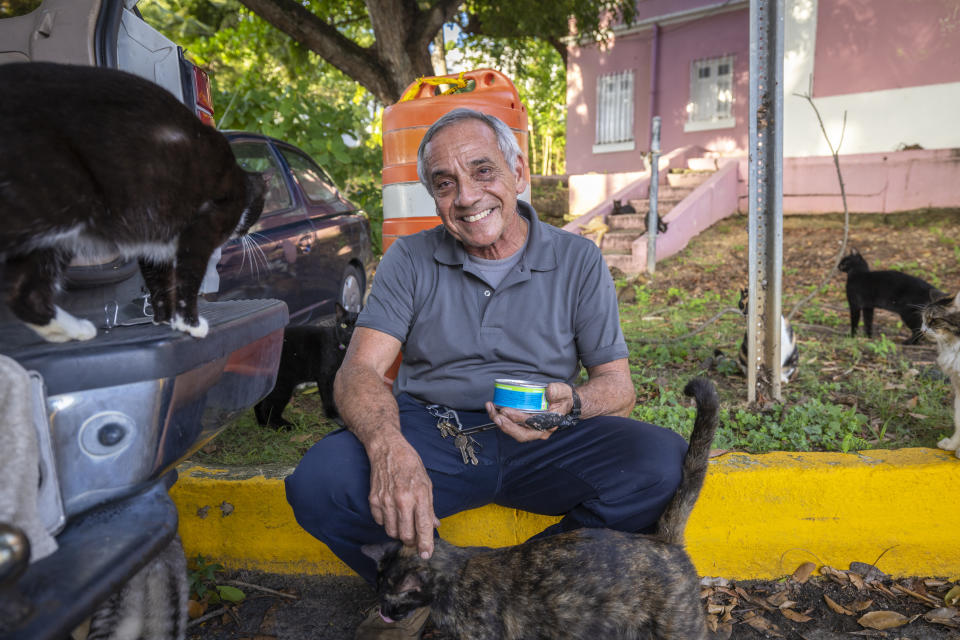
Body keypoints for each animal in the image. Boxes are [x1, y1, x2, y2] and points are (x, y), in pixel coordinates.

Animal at [0, 63, 266, 344]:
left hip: (56, 238)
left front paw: (166, 319)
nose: (247, 233)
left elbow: (159, 283)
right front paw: (190, 324)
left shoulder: (155, 246)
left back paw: (74, 330)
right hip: (60, 201)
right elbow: (187, 280)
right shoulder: (202, 231)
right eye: (256, 212)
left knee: (23, 292)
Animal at [362, 378, 720, 636]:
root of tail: (662, 540)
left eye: (391, 599)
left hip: (676, 628)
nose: (383, 613)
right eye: (379, 594)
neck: (454, 573)